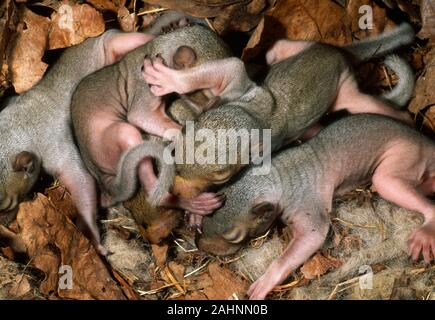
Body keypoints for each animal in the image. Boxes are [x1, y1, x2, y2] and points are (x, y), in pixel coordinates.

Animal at [0, 11, 195, 255]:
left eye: (6, 205)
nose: (5, 227)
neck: (18, 123)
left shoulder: (52, 143)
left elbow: (81, 180)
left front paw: (90, 236)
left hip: (109, 42)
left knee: (138, 39)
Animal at [139, 23, 416, 222]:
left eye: (221, 175)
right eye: (186, 133)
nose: (175, 192)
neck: (258, 114)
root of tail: (338, 51)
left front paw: (198, 205)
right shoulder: (243, 91)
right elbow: (233, 66)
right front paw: (167, 79)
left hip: (346, 88)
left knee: (370, 105)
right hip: (288, 50)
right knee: (276, 48)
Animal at [198, 114, 435, 300]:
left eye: (234, 237)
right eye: (207, 218)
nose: (200, 245)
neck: (275, 176)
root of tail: (425, 140)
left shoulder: (305, 201)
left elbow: (313, 235)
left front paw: (265, 282)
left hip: (406, 154)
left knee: (393, 184)